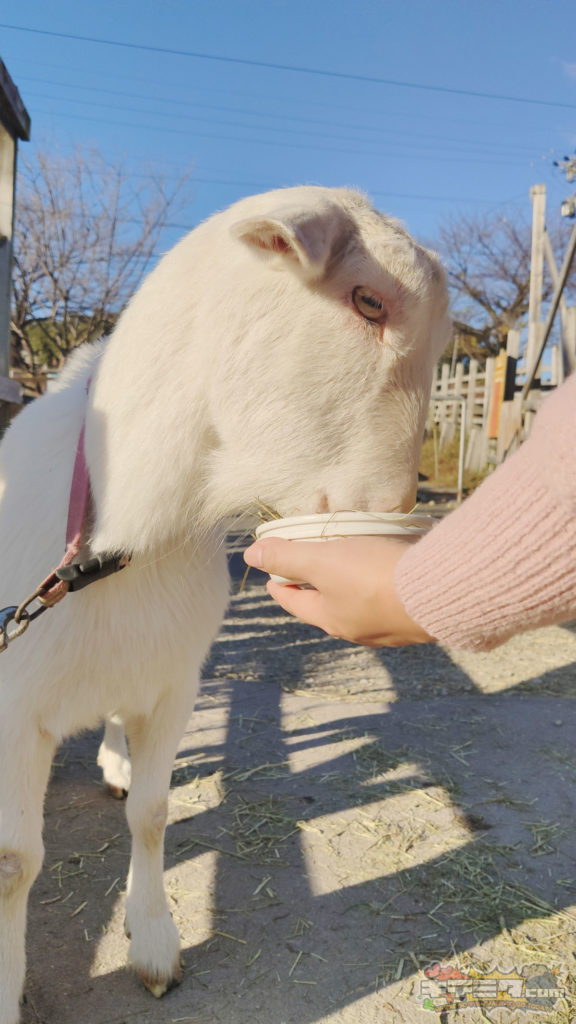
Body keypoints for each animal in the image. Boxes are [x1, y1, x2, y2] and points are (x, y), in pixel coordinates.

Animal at [0, 186, 448, 1024]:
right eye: (368, 300)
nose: (393, 510)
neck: (115, 540)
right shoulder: (12, 706)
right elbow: (15, 860)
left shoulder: (176, 682)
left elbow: (151, 815)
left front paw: (153, 945)